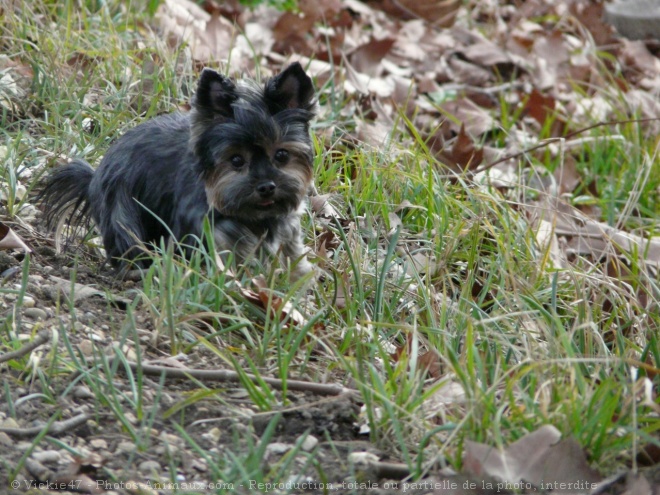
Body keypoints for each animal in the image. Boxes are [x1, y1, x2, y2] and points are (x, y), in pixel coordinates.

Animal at [40, 62, 318, 280]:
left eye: (281, 155)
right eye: (236, 160)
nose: (266, 186)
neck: (254, 217)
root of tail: (93, 177)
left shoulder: (285, 227)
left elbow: (291, 258)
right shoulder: (204, 226)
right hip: (121, 207)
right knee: (127, 240)